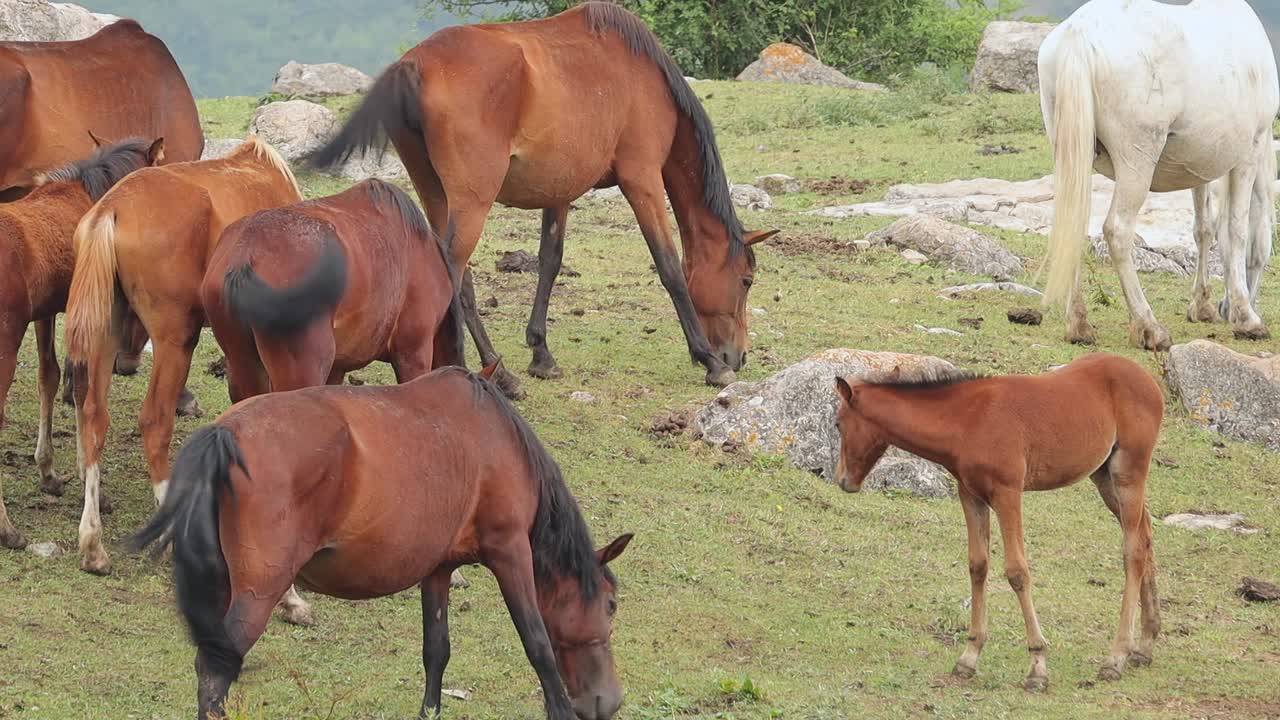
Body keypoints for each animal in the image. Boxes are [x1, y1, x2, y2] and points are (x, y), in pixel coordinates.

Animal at [63, 135, 304, 584]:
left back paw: (93, 545)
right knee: (155, 421)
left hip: (106, 335)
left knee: (93, 417)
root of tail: (111, 209)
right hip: (177, 340)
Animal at [128, 365, 632, 720]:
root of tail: (224, 433)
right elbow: (538, 644)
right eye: (610, 605)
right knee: (215, 673)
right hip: (257, 592)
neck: (495, 438)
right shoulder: (510, 552)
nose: (607, 702)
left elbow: (436, 651)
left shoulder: (438, 569)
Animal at [309, 2, 777, 397]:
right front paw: (710, 361)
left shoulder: (559, 191)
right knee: (453, 276)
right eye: (746, 280)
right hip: (472, 202)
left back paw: (503, 373)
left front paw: (541, 354)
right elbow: (670, 268)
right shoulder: (642, 179)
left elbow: (550, 261)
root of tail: (412, 65)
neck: (643, 75)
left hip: (436, 194)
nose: (739, 355)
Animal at [833, 353, 1162, 690]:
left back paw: (1116, 658)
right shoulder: (970, 495)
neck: (966, 421)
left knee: (1133, 550)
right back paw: (1145, 646)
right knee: (1145, 533)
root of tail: (1147, 378)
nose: (843, 480)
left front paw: (1037, 666)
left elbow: (1017, 571)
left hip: (1128, 473)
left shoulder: (1008, 494)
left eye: (837, 423)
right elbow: (978, 566)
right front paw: (969, 657)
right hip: (1103, 477)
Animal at [1038, 0, 1278, 350]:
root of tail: (1077, 36)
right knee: (1118, 230)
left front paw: (1202, 306)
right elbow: (1237, 230)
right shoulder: (1249, 154)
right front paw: (1247, 318)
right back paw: (1149, 327)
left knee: (1073, 222)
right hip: (1137, 162)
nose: (1226, 309)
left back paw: (1079, 326)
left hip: (1072, 154)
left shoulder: (1201, 163)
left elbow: (1204, 228)